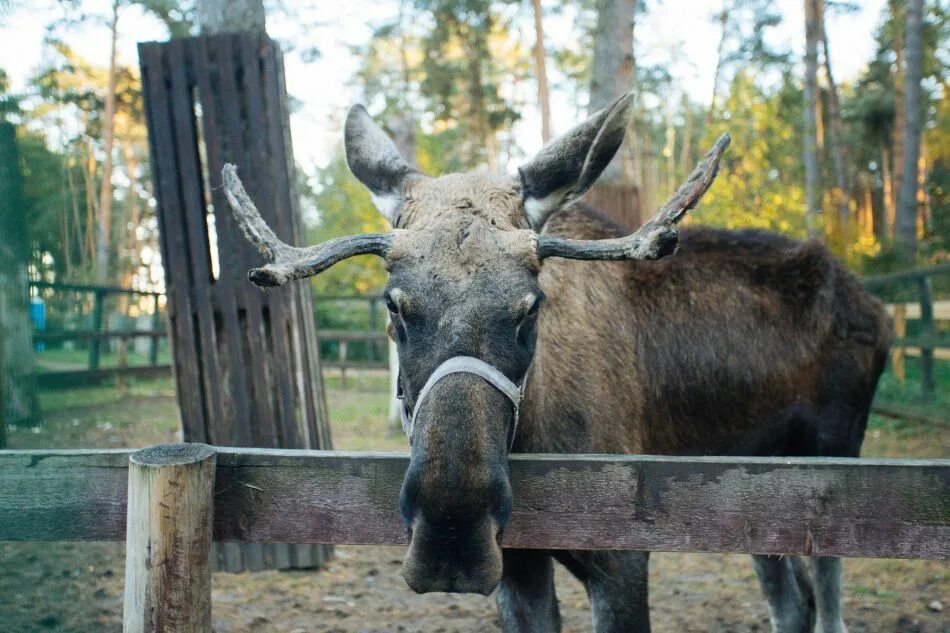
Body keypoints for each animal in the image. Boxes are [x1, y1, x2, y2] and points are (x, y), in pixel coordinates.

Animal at [223, 91, 892, 628]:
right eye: (395, 306)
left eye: (530, 306)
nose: (451, 531)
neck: (538, 435)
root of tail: (878, 309)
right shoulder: (517, 567)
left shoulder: (623, 556)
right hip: (757, 496)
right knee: (793, 606)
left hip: (834, 469)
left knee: (827, 607)